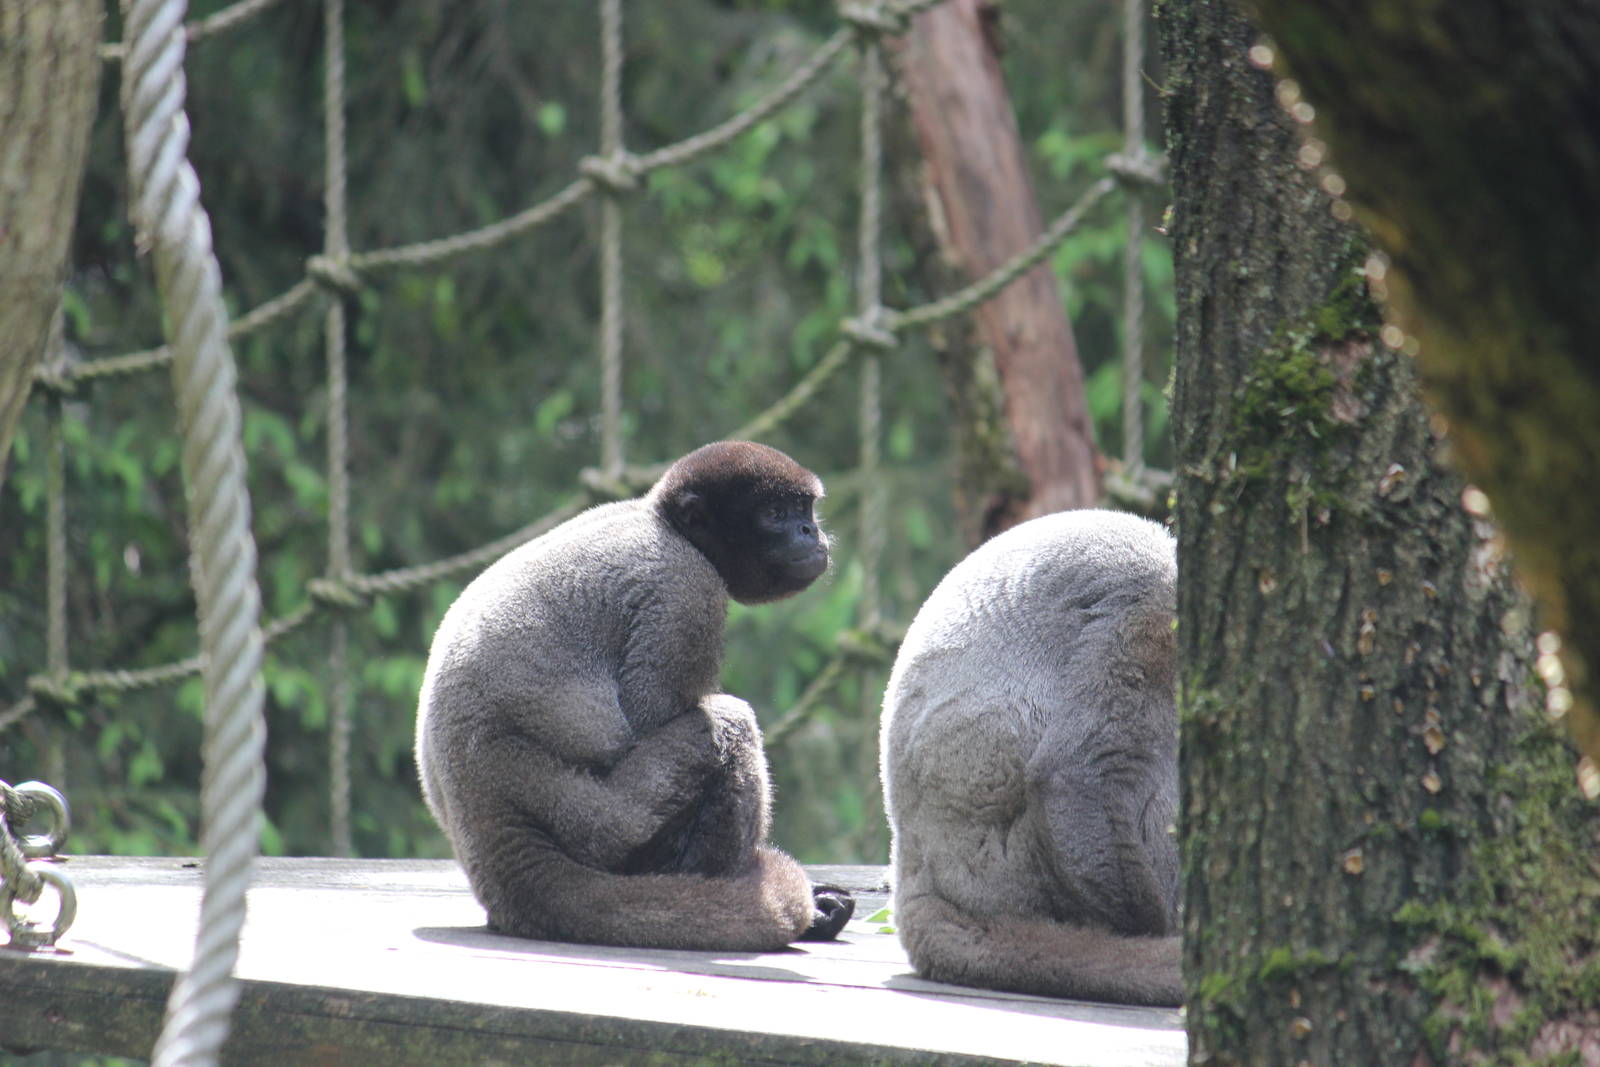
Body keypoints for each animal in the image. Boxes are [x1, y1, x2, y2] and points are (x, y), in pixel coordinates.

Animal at [415, 440, 853, 951]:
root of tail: (493, 842)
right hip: (608, 828)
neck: (662, 521)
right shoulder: (684, 590)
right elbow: (648, 716)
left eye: (805, 509)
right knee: (730, 720)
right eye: (775, 513)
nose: (810, 530)